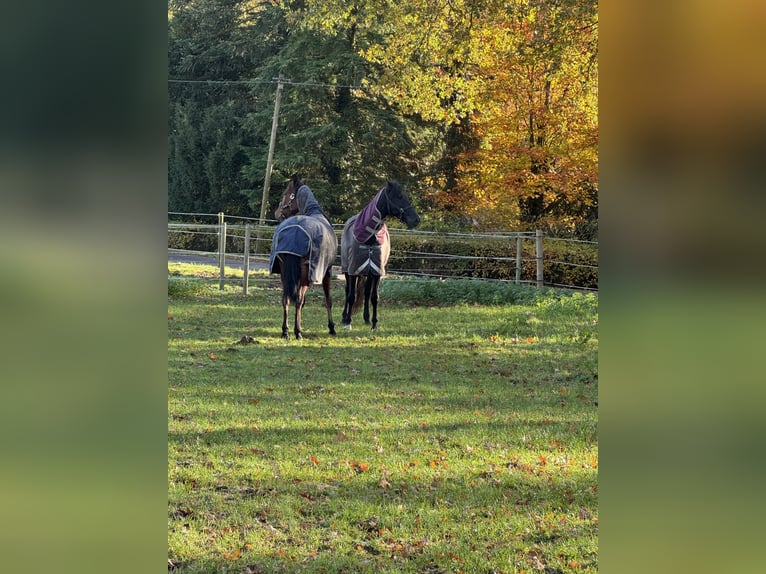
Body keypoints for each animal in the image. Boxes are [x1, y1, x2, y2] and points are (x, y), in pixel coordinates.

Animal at [269, 177, 337, 340]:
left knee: (286, 299)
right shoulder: (327, 272)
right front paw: (331, 327)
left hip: (285, 274)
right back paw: (298, 331)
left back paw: (285, 331)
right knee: (298, 300)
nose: (277, 212)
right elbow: (328, 300)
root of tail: (293, 232)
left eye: (286, 194)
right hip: (306, 276)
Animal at [340, 180, 420, 330]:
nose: (416, 220)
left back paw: (366, 318)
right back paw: (344, 317)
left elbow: (374, 297)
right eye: (399, 196)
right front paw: (348, 322)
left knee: (366, 293)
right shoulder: (353, 270)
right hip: (347, 268)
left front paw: (374, 324)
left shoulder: (377, 271)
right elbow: (351, 296)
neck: (370, 239)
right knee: (348, 291)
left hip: (368, 272)